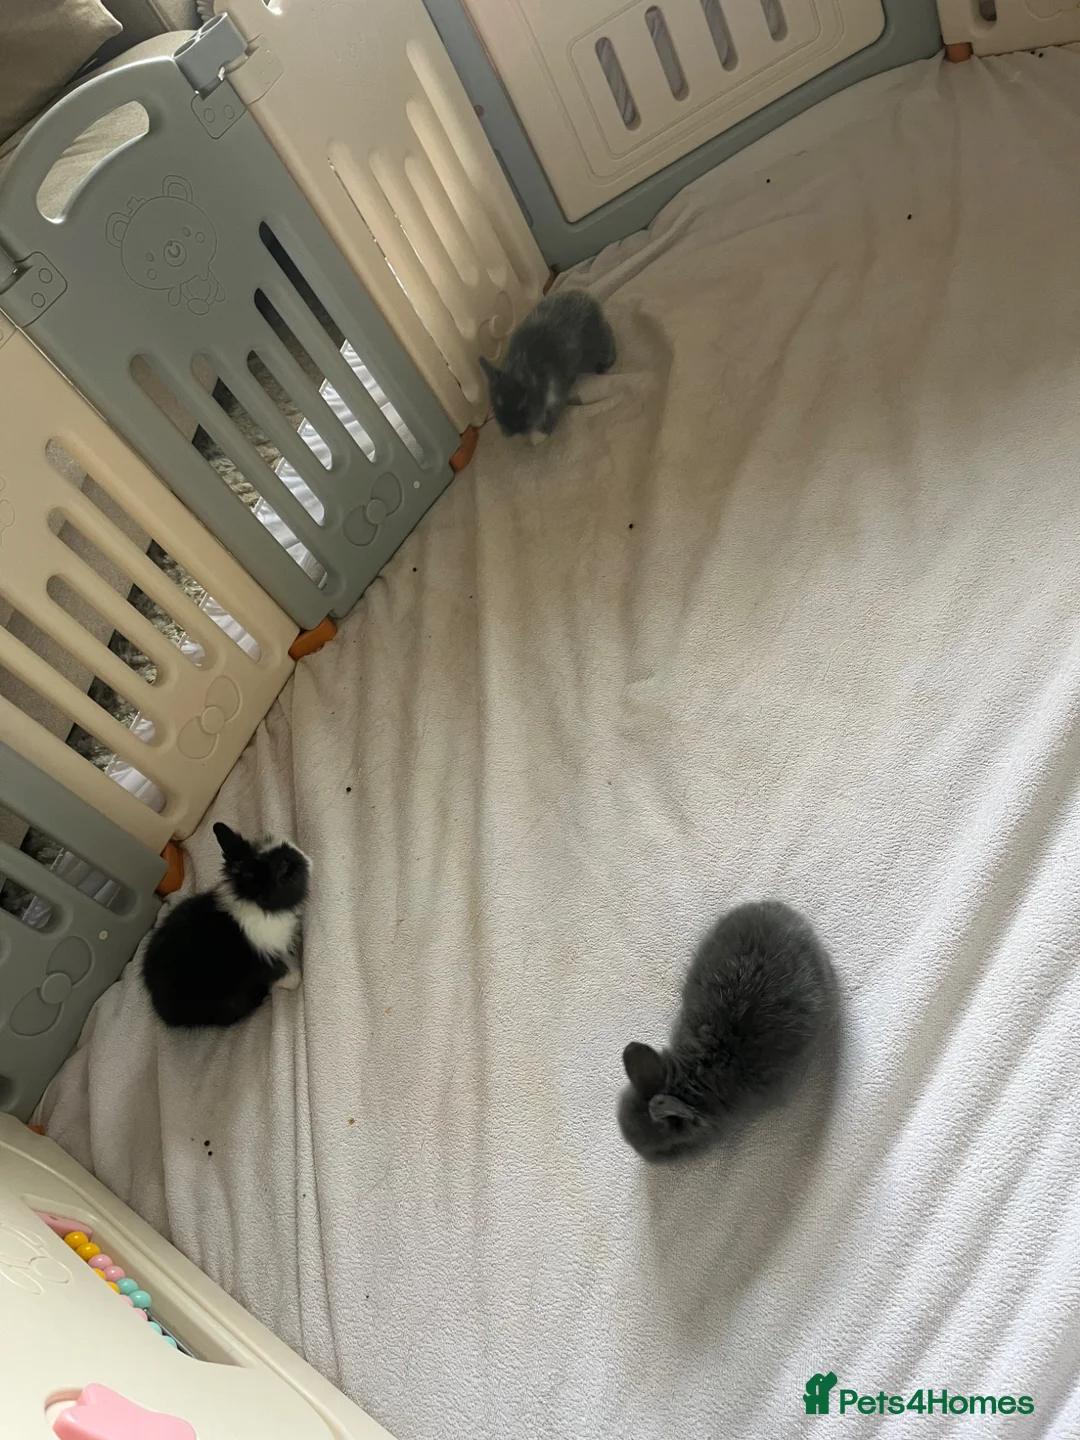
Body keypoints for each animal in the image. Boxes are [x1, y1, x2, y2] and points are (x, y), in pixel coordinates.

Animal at [141, 822, 310, 1028]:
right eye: (284, 867)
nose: (301, 855)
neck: (254, 902)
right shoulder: (265, 955)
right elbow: (280, 968)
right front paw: (295, 980)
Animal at [479, 289, 616, 443]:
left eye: (523, 409)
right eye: (496, 407)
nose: (511, 432)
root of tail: (589, 299)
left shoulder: (554, 397)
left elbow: (548, 417)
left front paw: (538, 438)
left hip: (595, 347)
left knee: (608, 338)